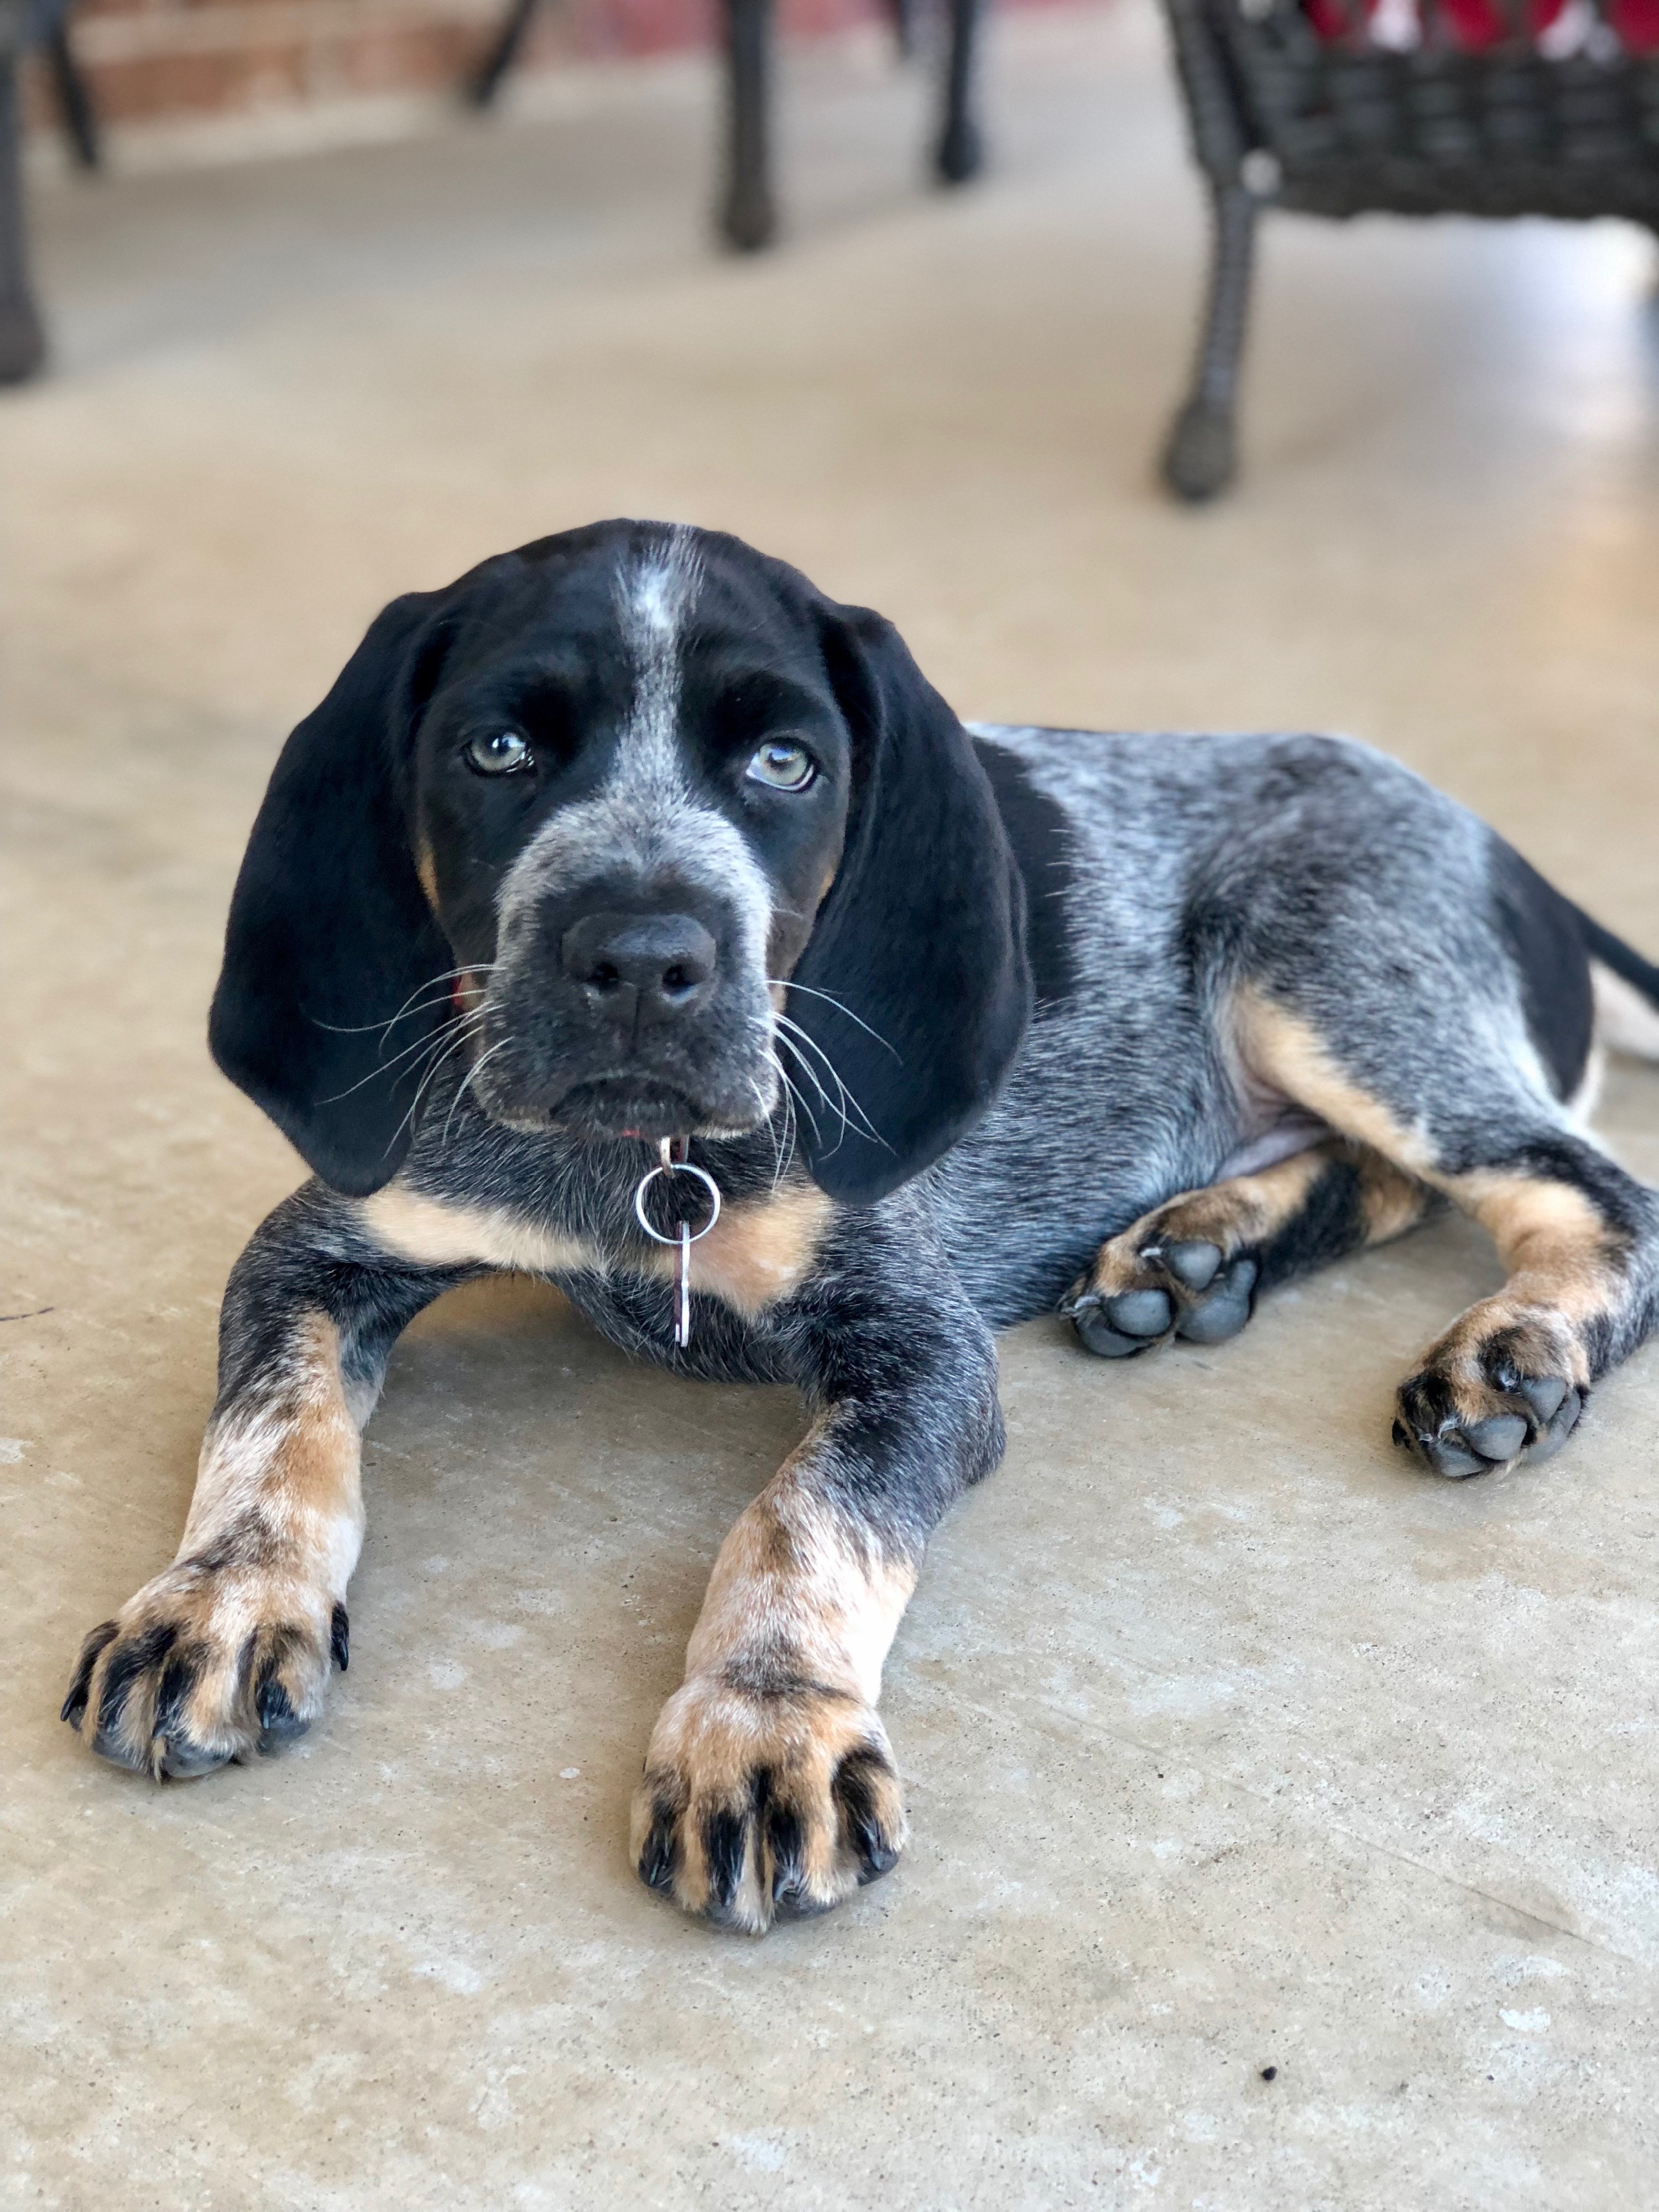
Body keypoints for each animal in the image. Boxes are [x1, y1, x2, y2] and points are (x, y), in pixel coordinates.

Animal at [61, 526, 1659, 1929]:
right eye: (497, 752)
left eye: (787, 763)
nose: (640, 961)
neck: (637, 1164)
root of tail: (1508, 852)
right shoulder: (319, 1245)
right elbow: (273, 1431)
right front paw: (218, 1597)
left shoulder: (922, 1344)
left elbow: (801, 1519)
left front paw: (764, 1726)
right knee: (1384, 1177)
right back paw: (1199, 1248)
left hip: (1327, 963)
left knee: (1582, 1182)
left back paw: (1514, 1349)